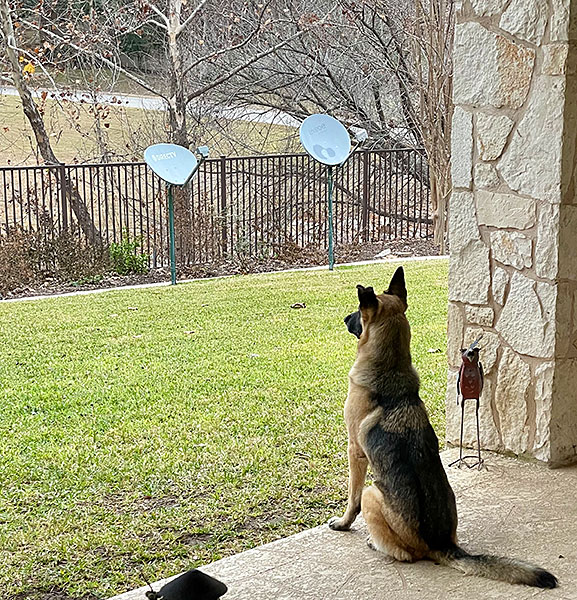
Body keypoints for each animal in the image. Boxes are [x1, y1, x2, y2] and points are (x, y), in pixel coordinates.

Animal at [328, 270, 560, 588]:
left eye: (358, 312)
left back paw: (376, 544)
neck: (389, 368)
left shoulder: (355, 452)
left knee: (403, 554)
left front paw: (343, 522)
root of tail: (441, 544)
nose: (343, 318)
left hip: (373, 494)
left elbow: (351, 498)